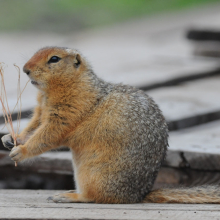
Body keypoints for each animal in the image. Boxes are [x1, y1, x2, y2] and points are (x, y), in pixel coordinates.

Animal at [1, 46, 220, 205]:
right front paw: (11, 138)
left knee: (95, 197)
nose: (26, 69)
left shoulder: (68, 111)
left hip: (94, 175)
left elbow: (48, 134)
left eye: (54, 59)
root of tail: (137, 196)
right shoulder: (41, 111)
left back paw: (69, 196)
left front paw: (21, 151)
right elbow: (33, 126)